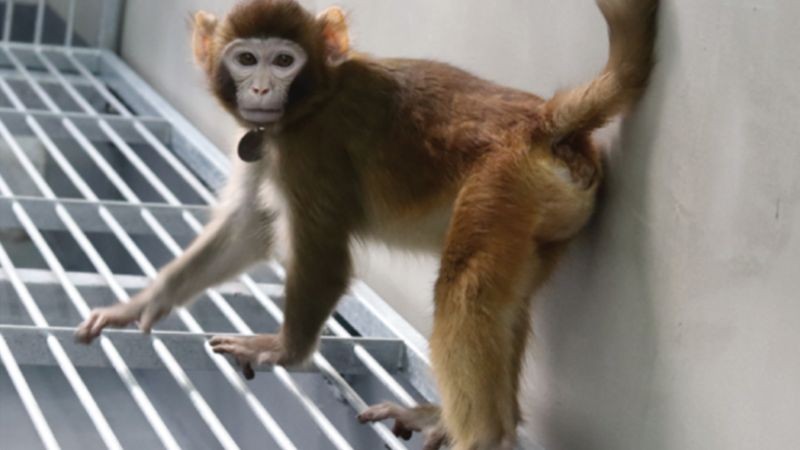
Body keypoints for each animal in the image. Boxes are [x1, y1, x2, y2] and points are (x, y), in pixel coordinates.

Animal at [75, 0, 658, 448]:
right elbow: (248, 227)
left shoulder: (312, 149)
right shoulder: (271, 144)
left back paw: (483, 435)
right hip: (540, 213)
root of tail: (544, 123)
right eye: (245, 59)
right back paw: (458, 418)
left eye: (283, 60)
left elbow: (325, 258)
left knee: (466, 291)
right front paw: (142, 304)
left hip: (503, 183)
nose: (260, 90)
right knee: (502, 301)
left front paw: (286, 350)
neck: (315, 98)